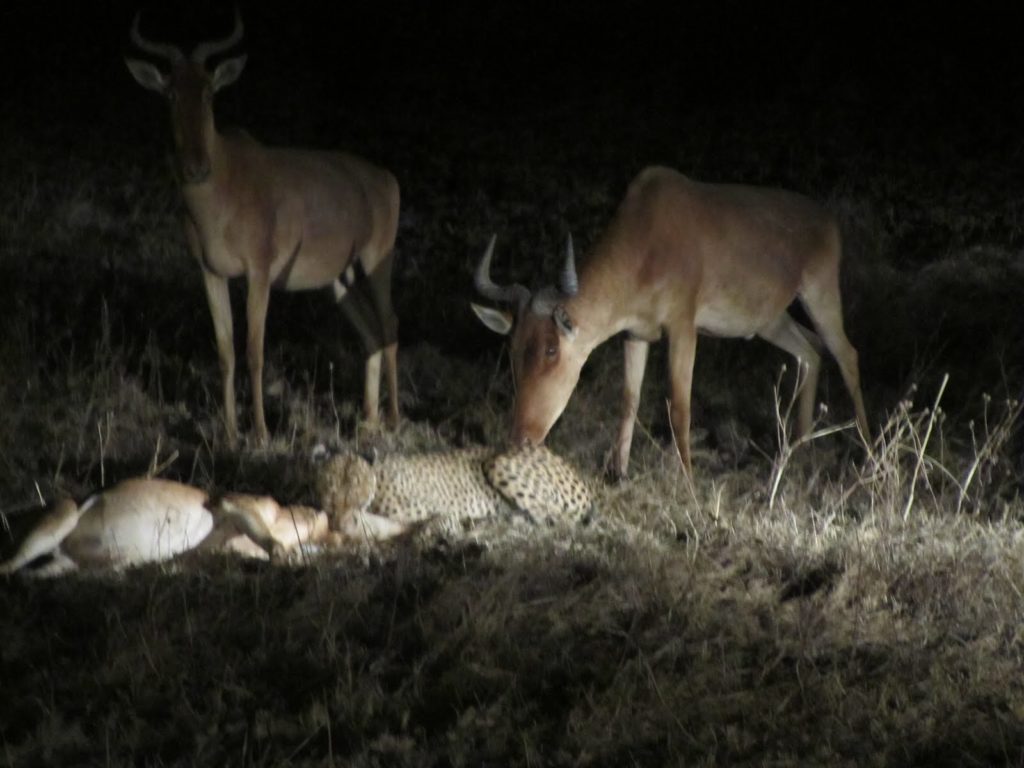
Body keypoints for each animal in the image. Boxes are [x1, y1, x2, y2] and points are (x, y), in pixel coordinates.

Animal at [123, 10, 399, 450]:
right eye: (170, 93)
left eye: (209, 91)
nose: (195, 168)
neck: (226, 180)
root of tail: (385, 178)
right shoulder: (211, 274)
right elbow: (225, 351)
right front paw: (231, 434)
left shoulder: (260, 272)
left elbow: (255, 351)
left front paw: (263, 432)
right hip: (339, 281)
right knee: (370, 334)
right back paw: (370, 420)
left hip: (376, 263)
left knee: (390, 324)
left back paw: (394, 418)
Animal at [317, 442, 593, 536]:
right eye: (330, 492)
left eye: (357, 493)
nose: (340, 522)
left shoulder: (445, 512)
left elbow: (430, 526)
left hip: (500, 462)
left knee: (555, 519)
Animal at [468, 165, 864, 479]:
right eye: (513, 348)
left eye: (552, 350)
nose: (521, 439)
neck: (649, 226)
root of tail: (827, 219)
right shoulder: (635, 334)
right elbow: (629, 399)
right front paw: (618, 472)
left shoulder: (683, 328)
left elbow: (679, 405)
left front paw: (686, 481)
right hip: (770, 321)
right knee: (810, 352)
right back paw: (799, 451)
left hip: (820, 294)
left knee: (846, 353)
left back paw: (868, 454)